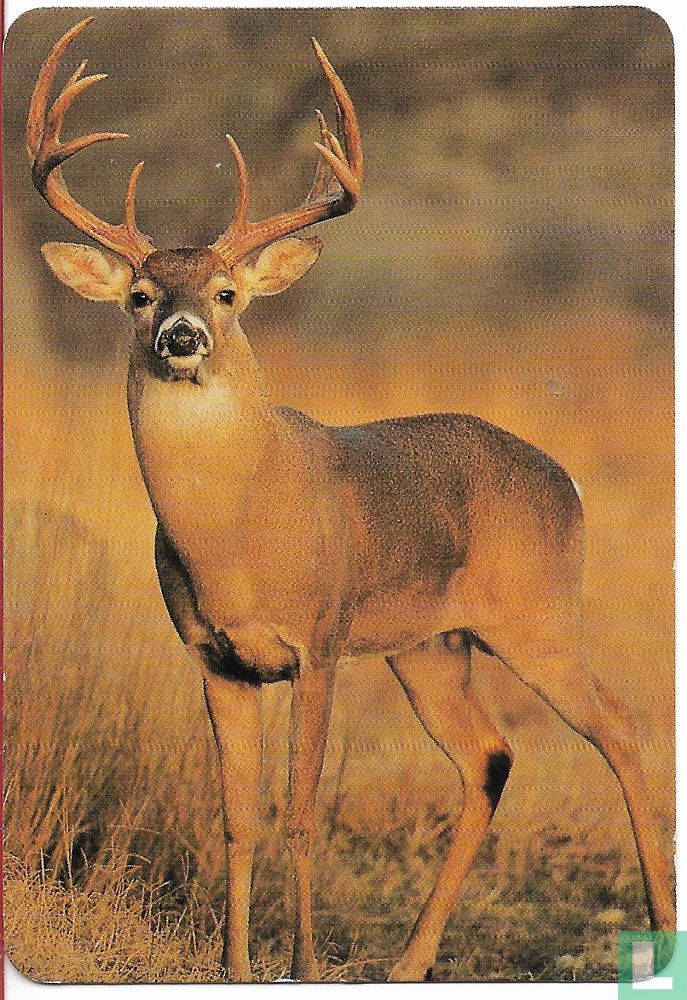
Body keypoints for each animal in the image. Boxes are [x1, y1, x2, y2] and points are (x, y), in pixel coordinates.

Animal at [27, 17, 675, 983]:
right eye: (140, 295)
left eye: (226, 292)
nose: (182, 334)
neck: (235, 535)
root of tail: (566, 481)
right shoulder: (216, 657)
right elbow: (236, 820)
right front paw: (235, 969)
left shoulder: (320, 641)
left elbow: (298, 817)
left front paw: (297, 964)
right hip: (431, 646)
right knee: (489, 755)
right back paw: (408, 962)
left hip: (538, 615)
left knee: (620, 726)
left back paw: (657, 928)